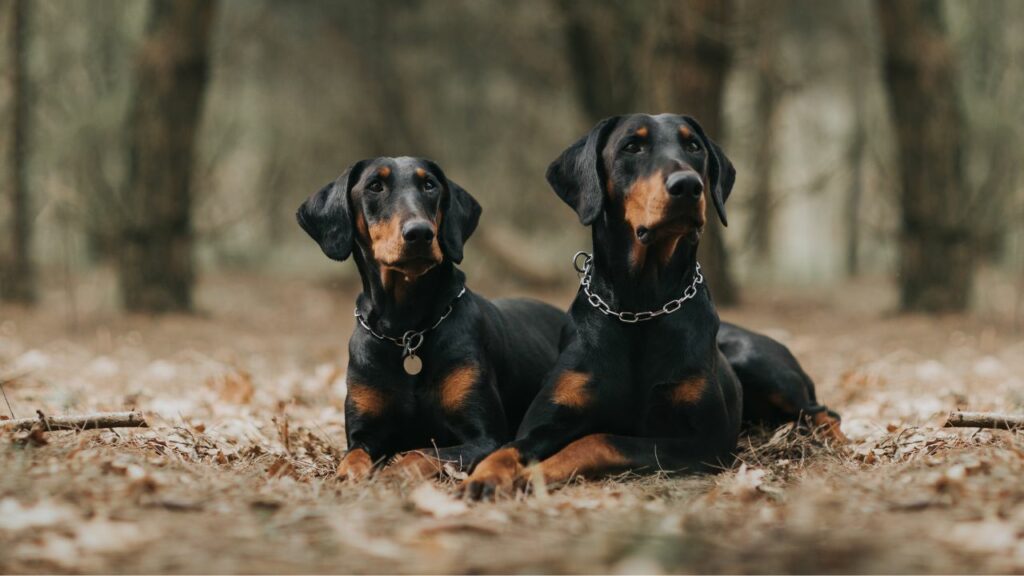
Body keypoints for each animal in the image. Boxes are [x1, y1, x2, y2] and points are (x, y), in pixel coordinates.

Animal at [296, 155, 569, 479]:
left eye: (429, 185)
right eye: (375, 186)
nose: (419, 233)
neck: (406, 330)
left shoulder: (486, 437)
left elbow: (422, 453)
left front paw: (393, 473)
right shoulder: (364, 434)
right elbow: (353, 457)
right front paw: (349, 476)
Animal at [462, 114, 839, 496]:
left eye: (694, 146)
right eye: (632, 146)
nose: (687, 186)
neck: (639, 307)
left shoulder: (705, 443)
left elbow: (600, 439)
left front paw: (537, 473)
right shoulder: (547, 417)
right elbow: (507, 447)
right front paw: (484, 476)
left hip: (757, 362)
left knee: (822, 411)